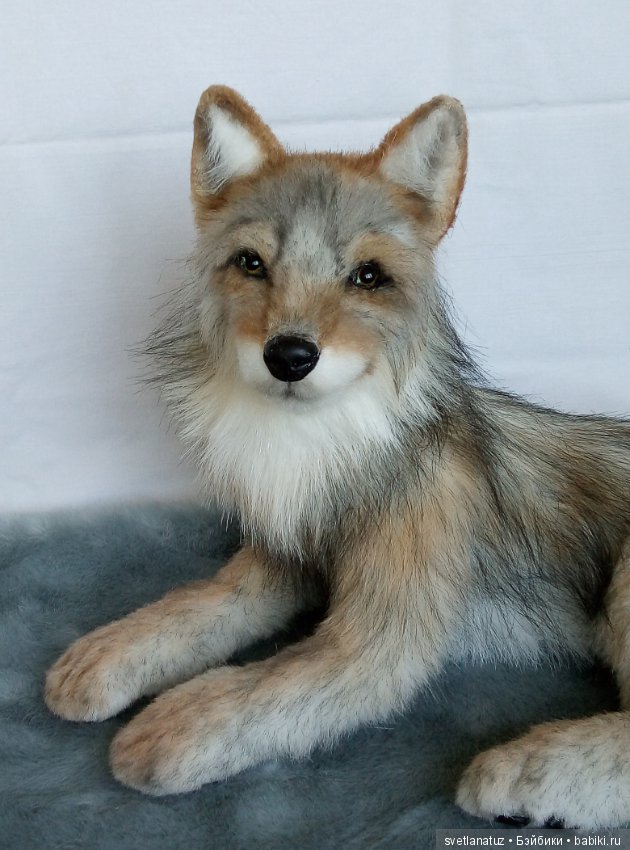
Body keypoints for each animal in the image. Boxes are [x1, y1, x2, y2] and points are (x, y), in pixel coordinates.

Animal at [45, 86, 630, 827]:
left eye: (367, 276)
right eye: (252, 263)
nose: (290, 356)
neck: (323, 452)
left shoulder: (376, 640)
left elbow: (256, 689)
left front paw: (165, 729)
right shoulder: (280, 561)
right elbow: (195, 605)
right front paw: (106, 655)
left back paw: (525, 774)